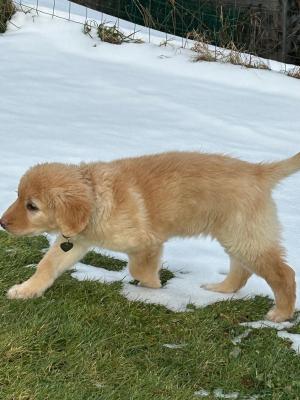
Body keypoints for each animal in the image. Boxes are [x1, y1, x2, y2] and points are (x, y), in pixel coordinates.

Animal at [1, 152, 298, 324]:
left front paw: (153, 289)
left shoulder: (148, 242)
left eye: (32, 206)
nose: (2, 222)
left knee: (284, 273)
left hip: (245, 236)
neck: (98, 199)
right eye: (18, 196)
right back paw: (222, 289)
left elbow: (139, 268)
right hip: (235, 234)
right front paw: (27, 290)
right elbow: (47, 265)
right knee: (242, 269)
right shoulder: (75, 241)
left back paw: (281, 313)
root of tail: (258, 171)